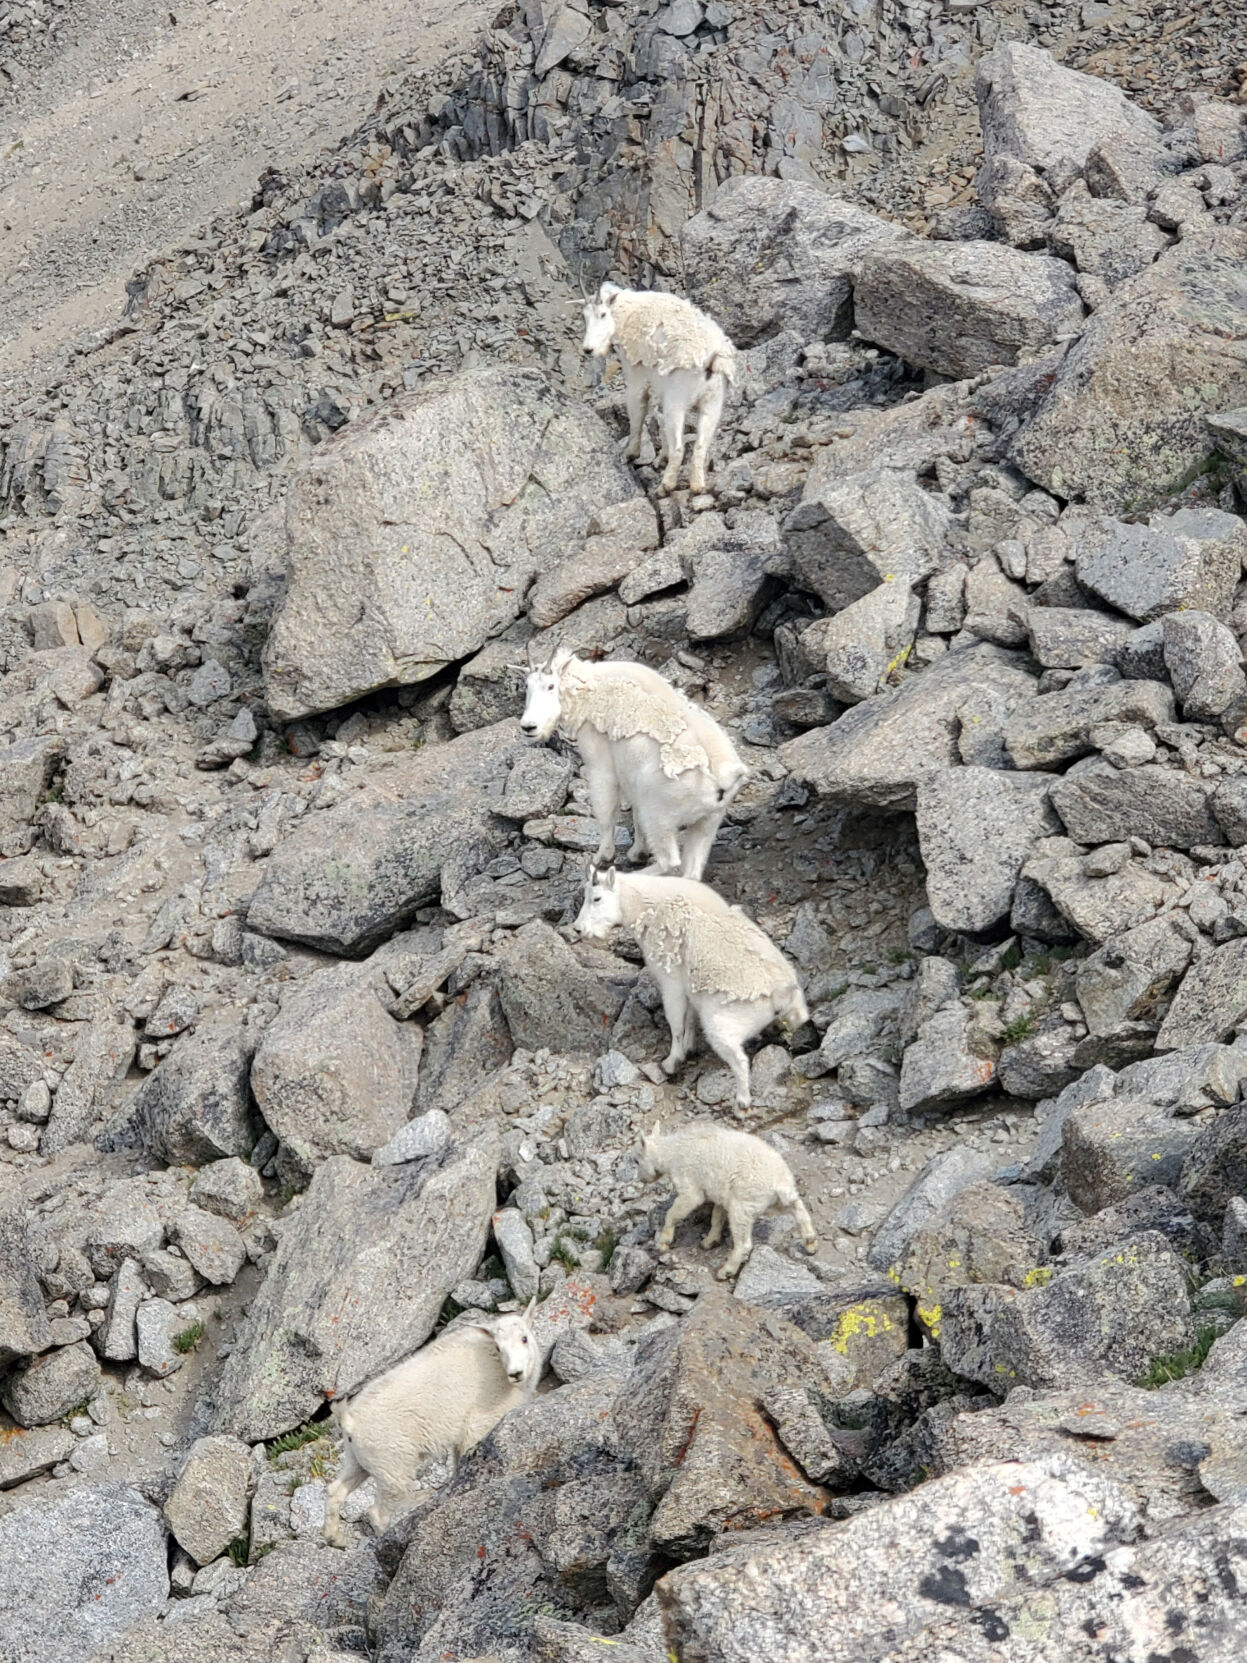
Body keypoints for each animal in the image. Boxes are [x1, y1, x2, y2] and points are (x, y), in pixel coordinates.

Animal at [322, 1302, 539, 1546]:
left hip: (358, 1460)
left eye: (524, 1338)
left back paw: (335, 1539)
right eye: (499, 1347)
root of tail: (349, 1421)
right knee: (378, 1511)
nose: (516, 1373)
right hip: (392, 1467)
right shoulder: (479, 1424)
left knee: (336, 1490)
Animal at [520, 646, 746, 880]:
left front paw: (602, 857)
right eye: (526, 685)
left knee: (669, 862)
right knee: (692, 871)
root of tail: (723, 779)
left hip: (660, 815)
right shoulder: (631, 777)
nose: (528, 727)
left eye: (551, 686)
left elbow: (606, 812)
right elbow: (635, 815)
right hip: (709, 821)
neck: (589, 690)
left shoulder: (601, 767)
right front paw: (637, 853)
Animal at [573, 866, 807, 1107]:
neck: (643, 905)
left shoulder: (671, 982)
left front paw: (671, 1062)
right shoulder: (691, 989)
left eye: (597, 898)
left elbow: (675, 1022)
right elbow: (690, 1018)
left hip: (724, 1023)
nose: (578, 929)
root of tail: (783, 992)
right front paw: (689, 1048)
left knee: (739, 1059)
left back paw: (742, 1102)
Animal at [581, 281, 738, 495]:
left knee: (679, 448)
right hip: (712, 402)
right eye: (585, 316)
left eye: (603, 314)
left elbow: (638, 412)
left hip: (678, 400)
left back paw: (666, 486)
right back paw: (697, 486)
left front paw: (630, 453)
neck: (629, 312)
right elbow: (658, 417)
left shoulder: (637, 375)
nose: (588, 349)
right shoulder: (658, 385)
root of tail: (712, 359)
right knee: (700, 446)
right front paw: (661, 456)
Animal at [638, 1120, 819, 1280]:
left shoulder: (688, 1184)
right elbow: (717, 1217)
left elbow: (676, 1211)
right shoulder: (722, 1195)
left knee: (744, 1243)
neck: (671, 1152)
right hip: (773, 1202)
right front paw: (709, 1241)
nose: (642, 1179)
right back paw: (810, 1242)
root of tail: (779, 1184)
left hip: (744, 1205)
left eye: (636, 1160)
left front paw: (663, 1243)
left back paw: (726, 1271)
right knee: (798, 1208)